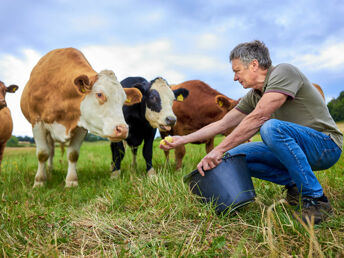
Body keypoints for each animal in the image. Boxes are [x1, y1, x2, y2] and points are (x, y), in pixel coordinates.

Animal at [20, 47, 142, 186]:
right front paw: (39, 182)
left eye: (123, 101)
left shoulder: (81, 126)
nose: (123, 129)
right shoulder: (37, 122)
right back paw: (49, 171)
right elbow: (42, 153)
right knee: (50, 150)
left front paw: (71, 181)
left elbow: (73, 154)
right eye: (99, 94)